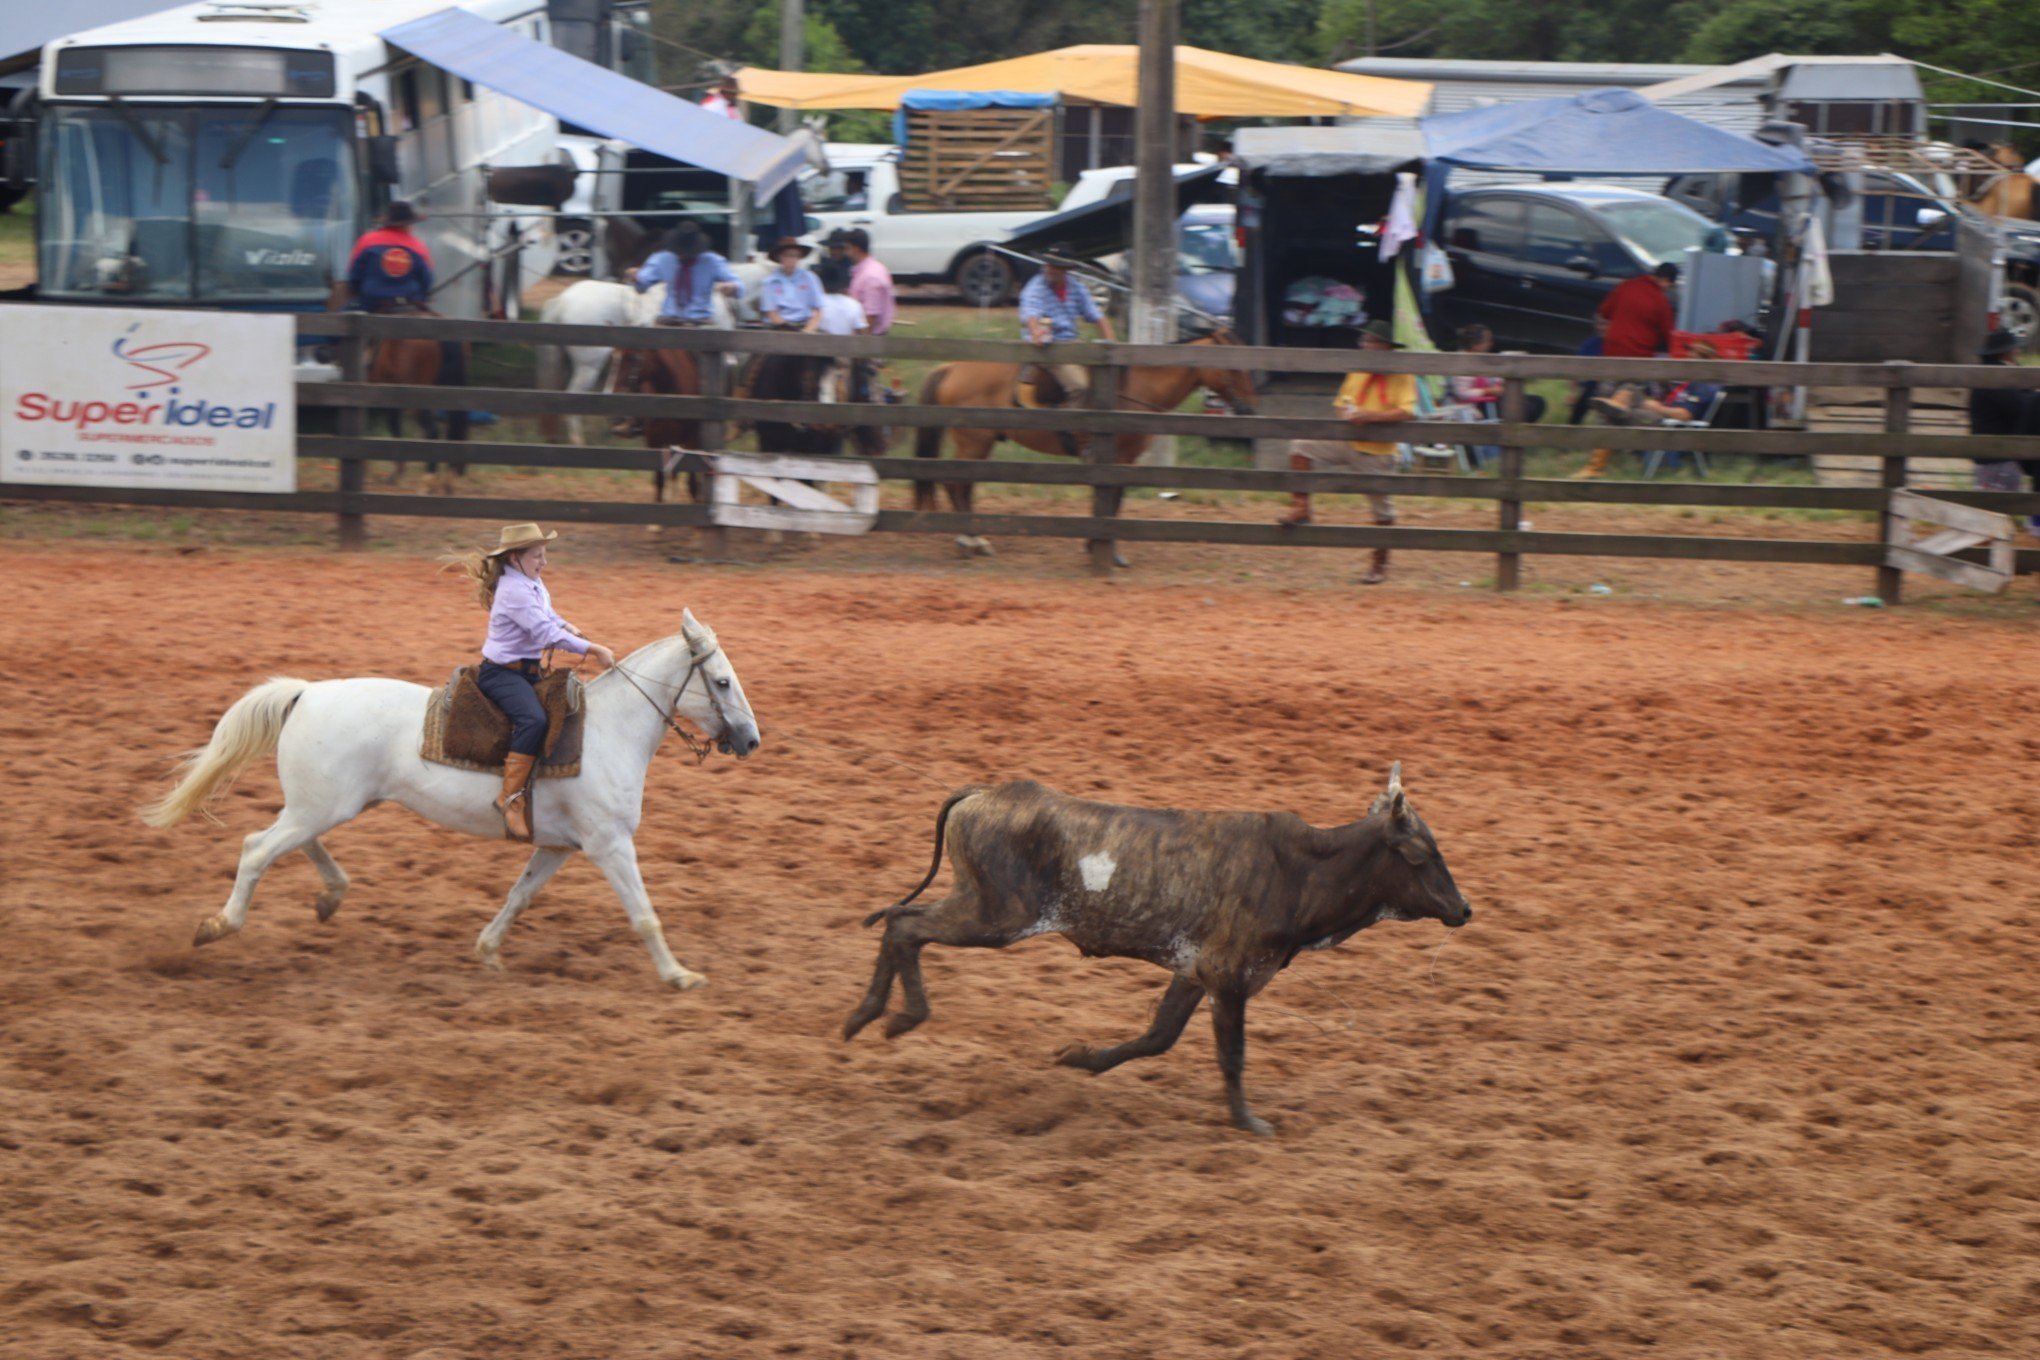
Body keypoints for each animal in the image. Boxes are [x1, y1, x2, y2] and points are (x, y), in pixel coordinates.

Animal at [137, 615, 758, 990]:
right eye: (723, 682)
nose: (752, 741)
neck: (609, 731)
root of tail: (307, 692)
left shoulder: (559, 847)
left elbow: (519, 897)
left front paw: (487, 952)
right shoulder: (610, 846)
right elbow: (645, 915)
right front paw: (679, 976)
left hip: (327, 804)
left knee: (290, 843)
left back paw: (330, 897)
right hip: (321, 806)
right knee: (256, 849)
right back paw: (217, 926)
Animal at [844, 766, 1468, 1141]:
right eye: (1420, 854)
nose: (1463, 909)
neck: (1300, 871)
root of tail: (983, 793)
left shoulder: (1195, 971)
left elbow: (1157, 1036)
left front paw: (1080, 1057)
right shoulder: (1229, 974)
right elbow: (1231, 1055)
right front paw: (1248, 1121)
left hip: (985, 909)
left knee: (898, 921)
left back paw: (871, 1016)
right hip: (998, 915)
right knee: (904, 924)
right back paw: (888, 1016)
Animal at [913, 330, 1256, 558]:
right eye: (1233, 368)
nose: (1248, 408)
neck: (1132, 391)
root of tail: (951, 368)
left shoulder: (1121, 461)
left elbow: (1112, 500)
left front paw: (1097, 546)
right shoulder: (1119, 458)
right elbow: (1112, 501)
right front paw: (1104, 549)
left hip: (980, 445)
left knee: (962, 486)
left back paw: (974, 538)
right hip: (974, 441)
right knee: (955, 484)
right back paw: (971, 539)